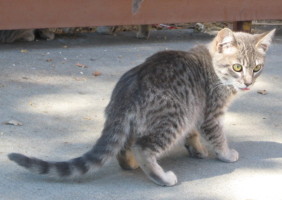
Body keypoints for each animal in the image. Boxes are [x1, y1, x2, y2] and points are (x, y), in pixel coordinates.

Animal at [7, 27, 274, 186]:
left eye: (257, 68)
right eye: (237, 67)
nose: (248, 83)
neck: (213, 68)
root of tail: (124, 93)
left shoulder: (195, 111)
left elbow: (193, 134)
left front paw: (197, 149)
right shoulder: (210, 113)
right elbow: (217, 136)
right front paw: (225, 153)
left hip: (145, 121)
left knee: (124, 148)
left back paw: (130, 163)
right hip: (173, 117)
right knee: (143, 148)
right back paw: (162, 177)